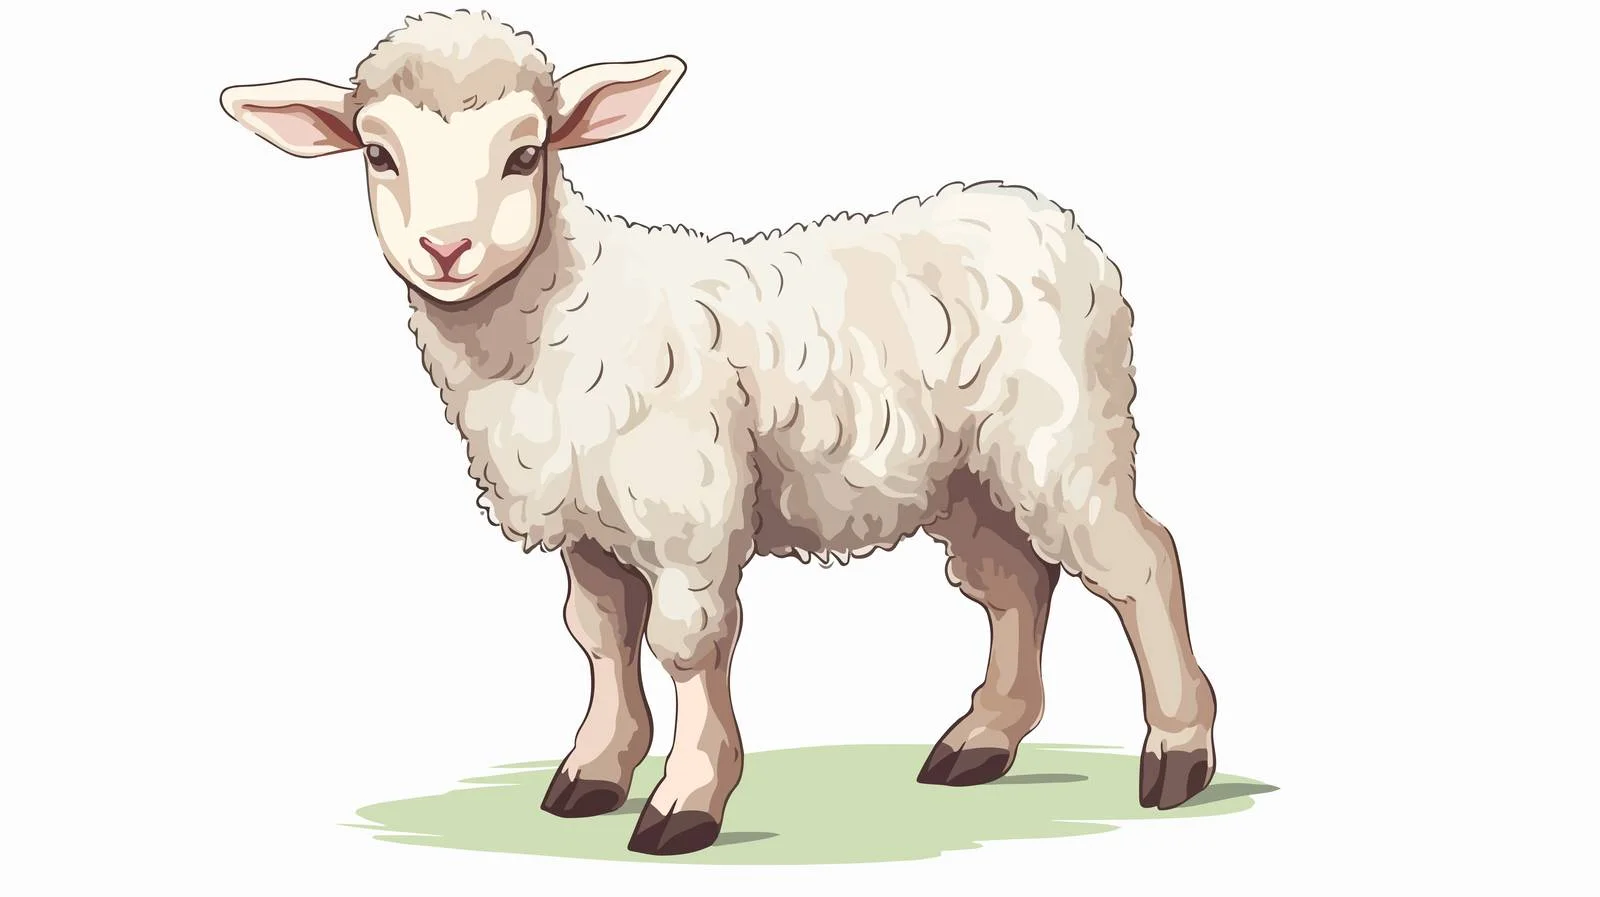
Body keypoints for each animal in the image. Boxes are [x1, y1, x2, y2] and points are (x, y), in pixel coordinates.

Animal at [220, 10, 1218, 856]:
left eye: (525, 153)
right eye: (377, 154)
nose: (446, 250)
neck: (555, 317)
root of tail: (1041, 214)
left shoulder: (687, 511)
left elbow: (684, 647)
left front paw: (686, 799)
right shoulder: (587, 522)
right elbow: (598, 637)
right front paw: (595, 769)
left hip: (1065, 437)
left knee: (1139, 563)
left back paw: (1178, 752)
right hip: (967, 473)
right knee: (1014, 586)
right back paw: (983, 738)